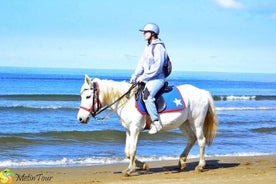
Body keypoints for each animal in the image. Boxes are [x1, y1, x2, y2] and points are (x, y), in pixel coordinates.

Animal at [76, 75, 217, 175]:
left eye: (88, 96)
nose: (81, 118)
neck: (126, 101)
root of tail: (203, 92)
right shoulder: (128, 129)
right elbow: (127, 152)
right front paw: (143, 165)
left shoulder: (135, 129)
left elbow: (132, 150)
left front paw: (130, 169)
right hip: (184, 123)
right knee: (191, 138)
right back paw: (181, 161)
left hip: (197, 121)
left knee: (201, 140)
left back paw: (200, 165)